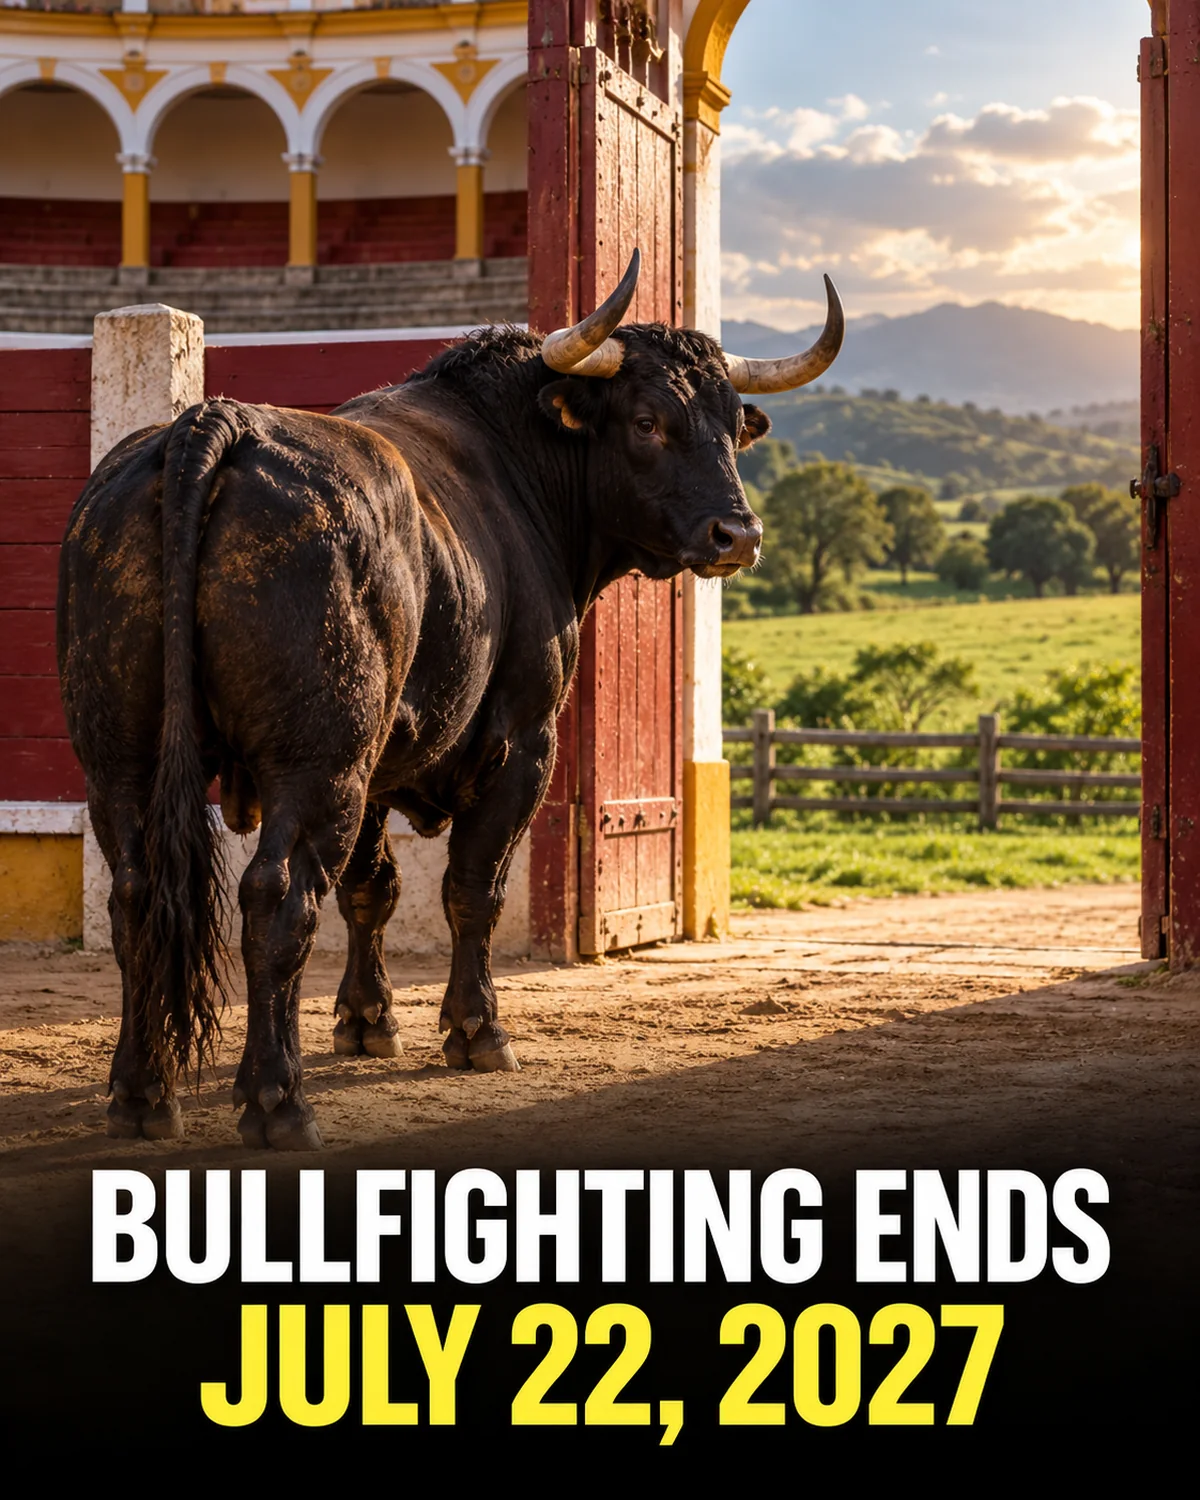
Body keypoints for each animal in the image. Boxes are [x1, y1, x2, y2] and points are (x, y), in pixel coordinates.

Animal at [56, 251, 843, 1150]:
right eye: (647, 421)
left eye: (730, 424)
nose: (736, 536)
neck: (520, 459)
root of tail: (211, 426)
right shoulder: (523, 745)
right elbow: (473, 887)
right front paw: (478, 1031)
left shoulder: (379, 767)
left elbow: (372, 888)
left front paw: (367, 1022)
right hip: (314, 765)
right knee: (278, 899)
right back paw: (277, 1101)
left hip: (122, 757)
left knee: (137, 895)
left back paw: (142, 1093)